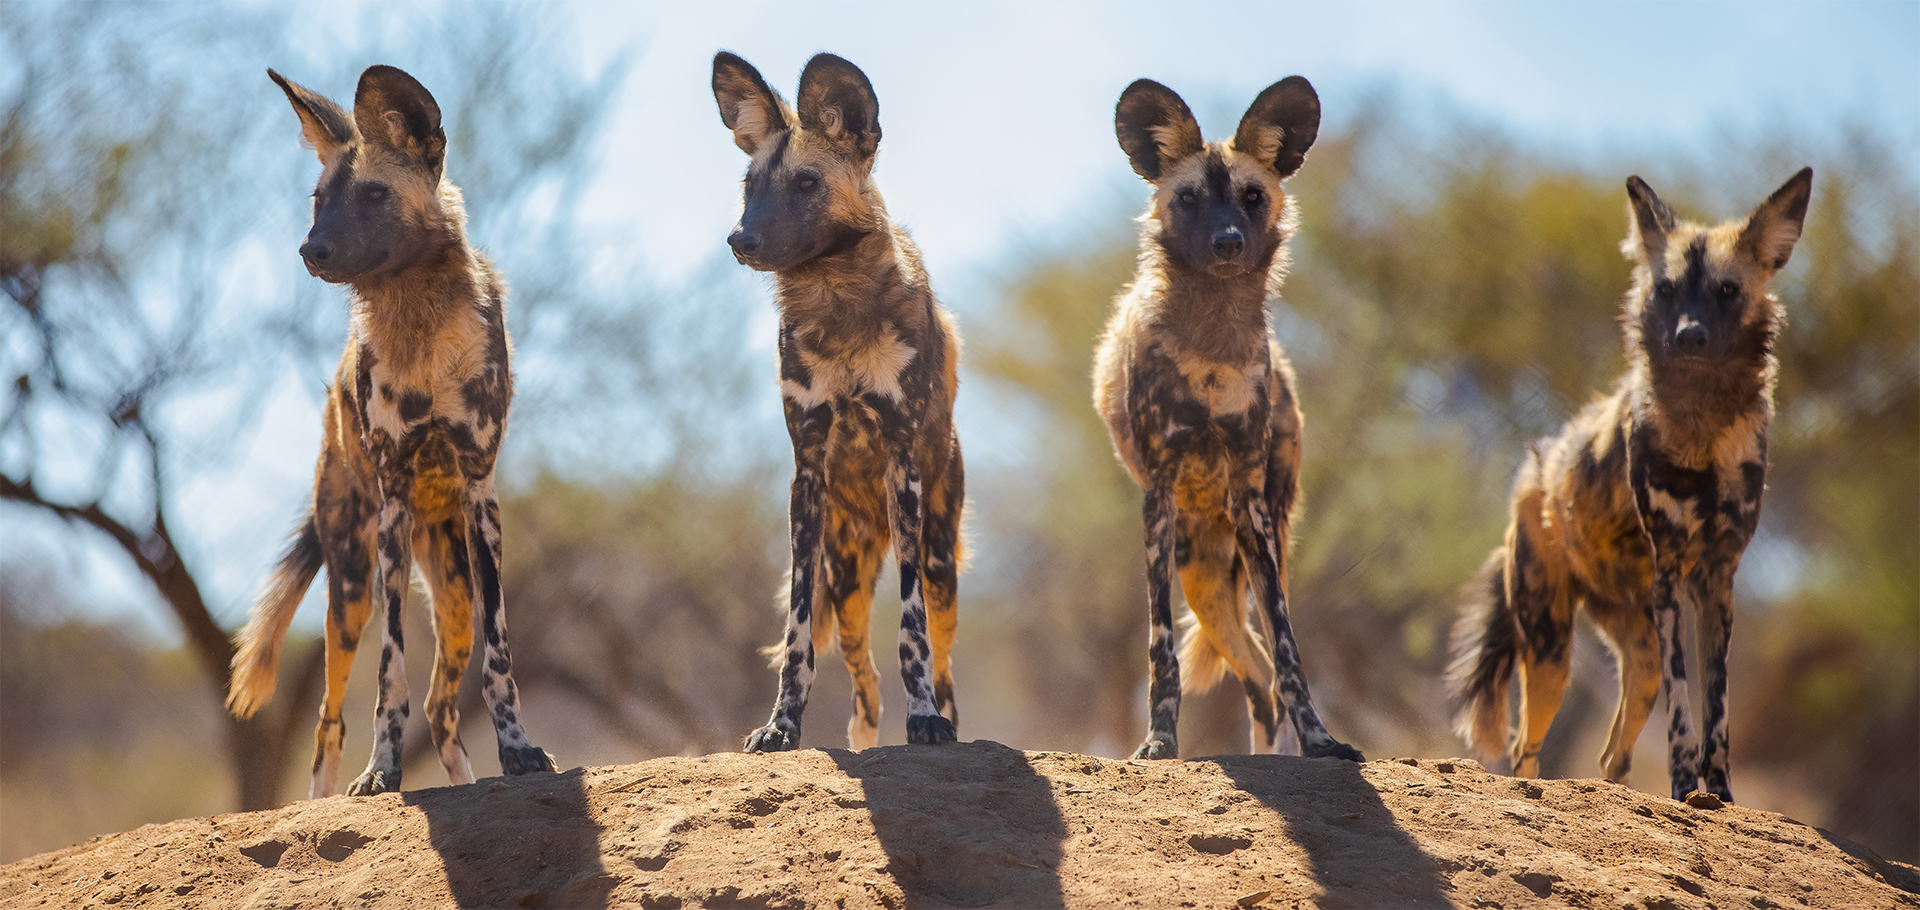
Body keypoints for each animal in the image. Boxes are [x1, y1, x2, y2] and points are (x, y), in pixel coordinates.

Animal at [225, 65, 556, 797]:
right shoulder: (393, 507)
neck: (419, 326)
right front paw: (382, 770)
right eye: (319, 199)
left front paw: (519, 751)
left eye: (375, 194)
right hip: (351, 588)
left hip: (454, 592)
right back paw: (321, 800)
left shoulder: (480, 497)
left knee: (441, 708)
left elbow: (499, 663)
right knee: (327, 721)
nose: (310, 248)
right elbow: (389, 677)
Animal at [712, 51, 965, 752]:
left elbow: (912, 634)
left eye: (805, 184)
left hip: (938, 559)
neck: (837, 297)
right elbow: (798, 635)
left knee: (940, 656)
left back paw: (945, 717)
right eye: (750, 186)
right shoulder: (808, 476)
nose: (739, 239)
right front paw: (781, 725)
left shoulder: (902, 468)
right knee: (864, 686)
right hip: (846, 576)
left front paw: (925, 720)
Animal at [1092, 76, 1364, 762]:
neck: (1213, 350)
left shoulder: (1251, 504)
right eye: (1188, 198)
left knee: (1265, 671)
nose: (1228, 242)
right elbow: (1161, 649)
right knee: (1254, 675)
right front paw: (1159, 741)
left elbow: (1292, 653)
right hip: (1201, 575)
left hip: (1254, 547)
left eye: (1252, 196)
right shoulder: (1158, 499)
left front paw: (1322, 741)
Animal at [1449, 168, 1813, 802]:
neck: (1701, 429)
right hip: (1552, 654)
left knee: (1611, 754)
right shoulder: (1671, 573)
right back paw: (1530, 792)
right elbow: (1684, 705)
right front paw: (1684, 785)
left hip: (1635, 654)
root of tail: (1533, 478)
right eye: (1665, 290)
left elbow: (1716, 705)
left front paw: (1718, 793)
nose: (1689, 336)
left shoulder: (1717, 579)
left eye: (1725, 291)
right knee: (1526, 748)